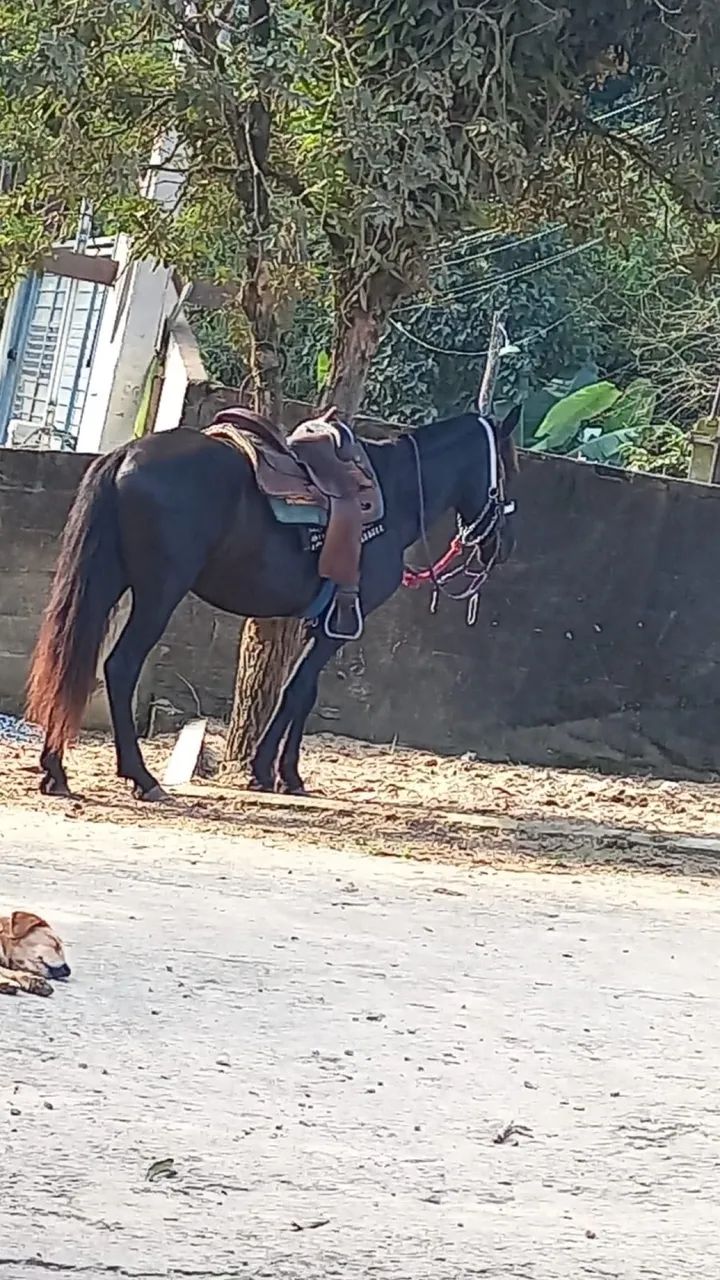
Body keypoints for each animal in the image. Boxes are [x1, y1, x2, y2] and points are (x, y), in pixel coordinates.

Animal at [26, 404, 519, 801]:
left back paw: (55, 770)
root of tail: (126, 454)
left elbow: (304, 691)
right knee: (120, 666)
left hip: (107, 583)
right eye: (510, 468)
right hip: (158, 594)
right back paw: (141, 777)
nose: (502, 547)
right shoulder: (341, 625)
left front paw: (282, 773)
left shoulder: (322, 622)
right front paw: (271, 772)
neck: (393, 494)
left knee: (75, 657)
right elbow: (297, 690)